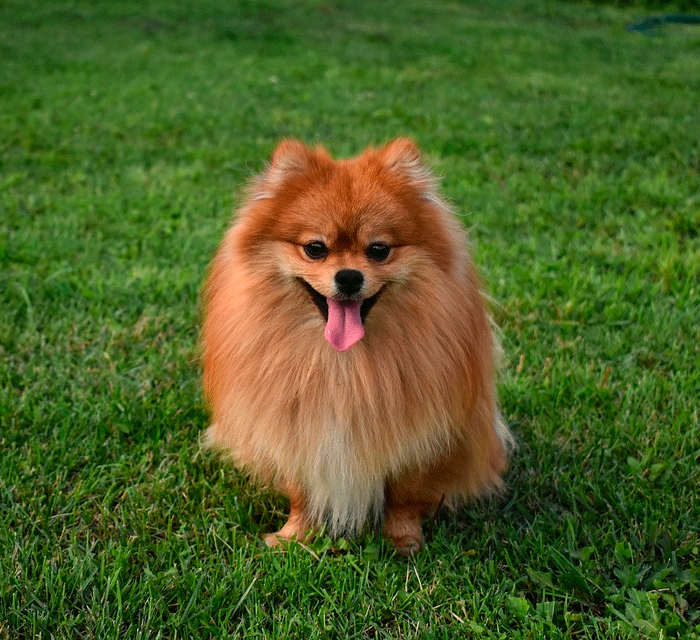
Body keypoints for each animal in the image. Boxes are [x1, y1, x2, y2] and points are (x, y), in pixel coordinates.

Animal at [200, 139, 512, 556]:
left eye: (378, 250)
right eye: (315, 248)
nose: (348, 277)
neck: (342, 364)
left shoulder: (418, 436)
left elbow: (403, 495)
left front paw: (403, 540)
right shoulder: (297, 428)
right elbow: (301, 491)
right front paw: (293, 536)